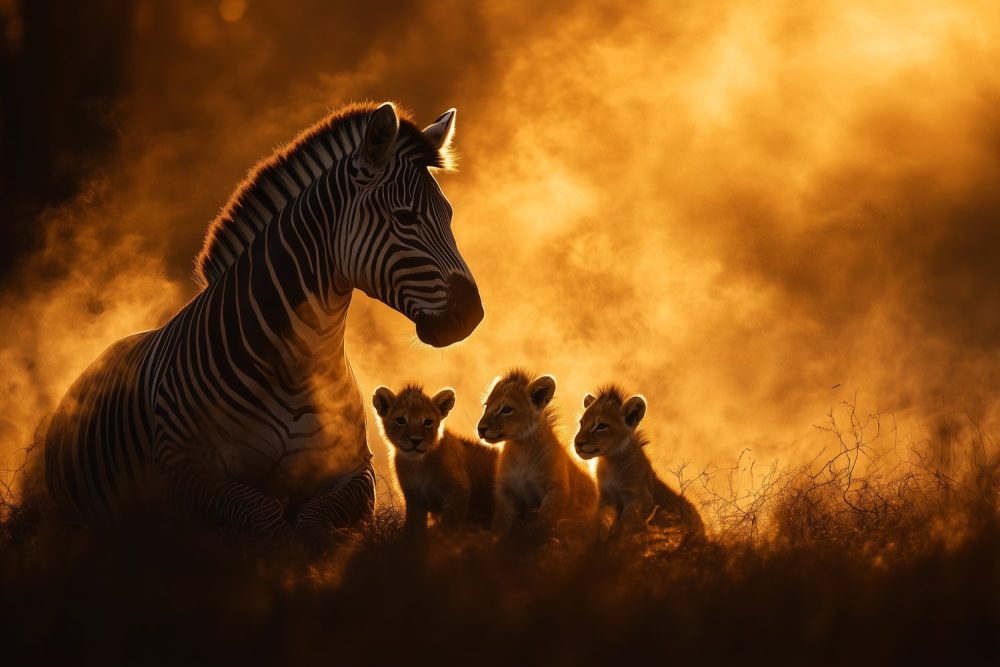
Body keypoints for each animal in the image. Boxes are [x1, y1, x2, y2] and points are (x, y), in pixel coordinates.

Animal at [44, 102, 484, 537]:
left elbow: (312, 521)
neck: (300, 362)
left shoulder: (358, 470)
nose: (474, 316)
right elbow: (265, 517)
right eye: (406, 217)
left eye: (448, 214)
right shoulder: (184, 469)